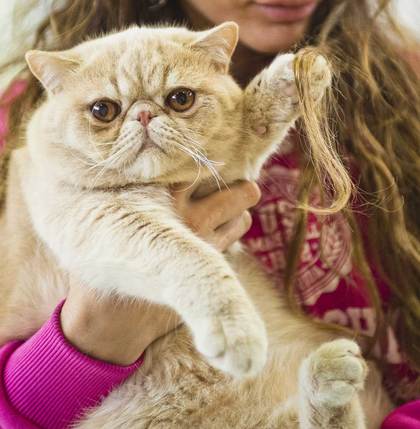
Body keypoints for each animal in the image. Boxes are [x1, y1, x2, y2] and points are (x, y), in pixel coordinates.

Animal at [0, 21, 392, 426]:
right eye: (102, 110)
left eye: (180, 99)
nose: (143, 115)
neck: (160, 184)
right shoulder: (105, 219)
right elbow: (192, 258)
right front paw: (236, 333)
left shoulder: (224, 173)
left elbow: (249, 123)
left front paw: (293, 76)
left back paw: (330, 377)